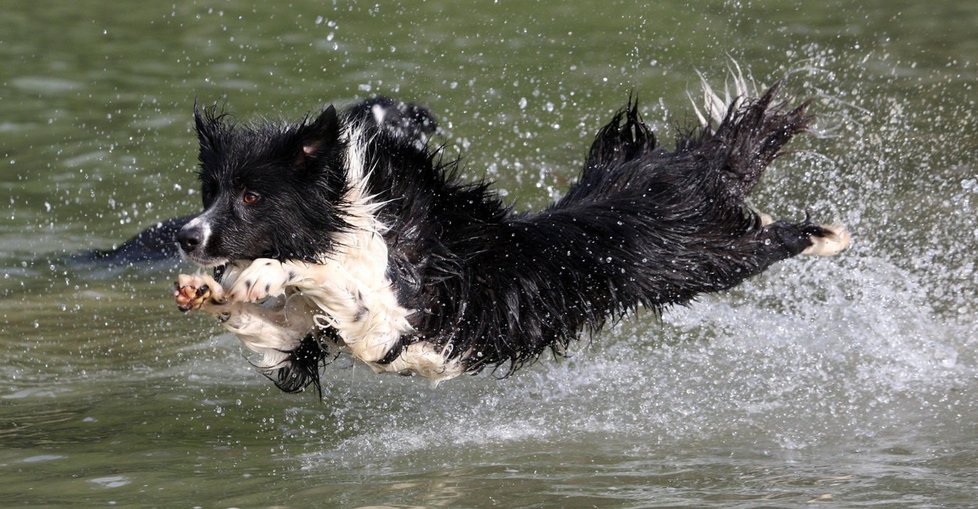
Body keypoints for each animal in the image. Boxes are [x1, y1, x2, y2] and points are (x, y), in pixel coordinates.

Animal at [173, 79, 848, 392]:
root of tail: (657, 177)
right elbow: (267, 327)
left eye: (251, 196)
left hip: (695, 262)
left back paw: (828, 234)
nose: (186, 237)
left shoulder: (394, 314)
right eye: (212, 192)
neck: (348, 218)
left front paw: (263, 271)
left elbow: (332, 277)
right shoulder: (300, 339)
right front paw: (209, 289)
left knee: (764, 240)